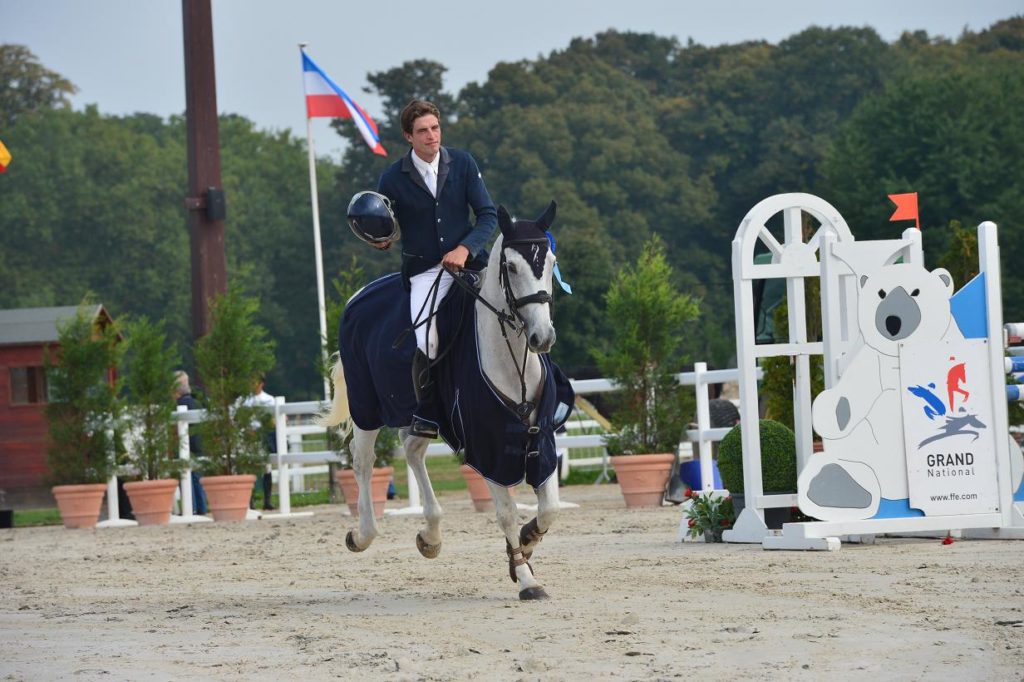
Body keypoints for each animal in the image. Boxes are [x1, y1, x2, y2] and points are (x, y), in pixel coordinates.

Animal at [323, 200, 573, 593]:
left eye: (550, 262)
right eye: (511, 267)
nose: (542, 337)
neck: (511, 360)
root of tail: (358, 297)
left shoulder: (540, 438)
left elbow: (549, 509)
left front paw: (527, 540)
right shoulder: (487, 445)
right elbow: (505, 512)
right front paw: (525, 577)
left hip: (424, 413)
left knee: (412, 450)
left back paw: (431, 535)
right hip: (367, 406)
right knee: (363, 462)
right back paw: (362, 534)